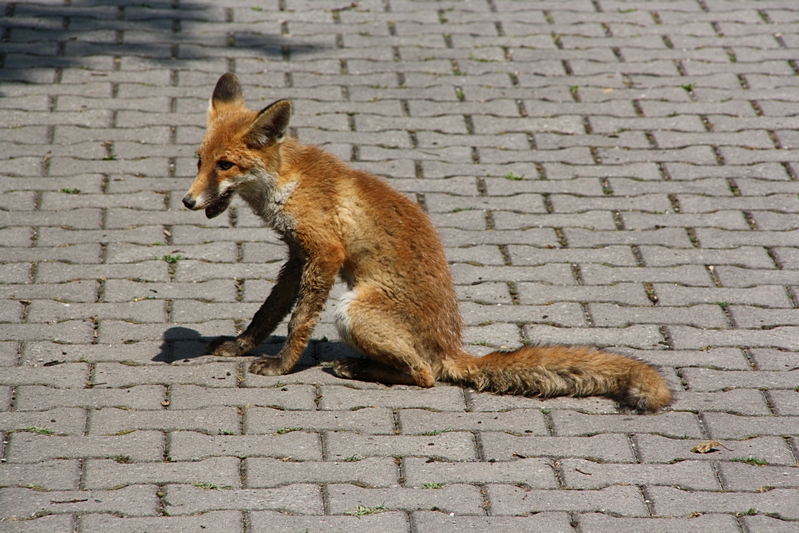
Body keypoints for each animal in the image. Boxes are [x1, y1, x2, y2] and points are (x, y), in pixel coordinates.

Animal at [182, 73, 672, 412]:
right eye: (200, 160)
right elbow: (267, 314)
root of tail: (452, 346)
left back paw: (358, 368)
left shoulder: (324, 251)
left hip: (353, 309)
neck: (287, 181)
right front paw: (241, 346)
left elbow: (298, 322)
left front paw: (282, 365)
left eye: (226, 165)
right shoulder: (297, 256)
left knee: (426, 375)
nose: (187, 201)